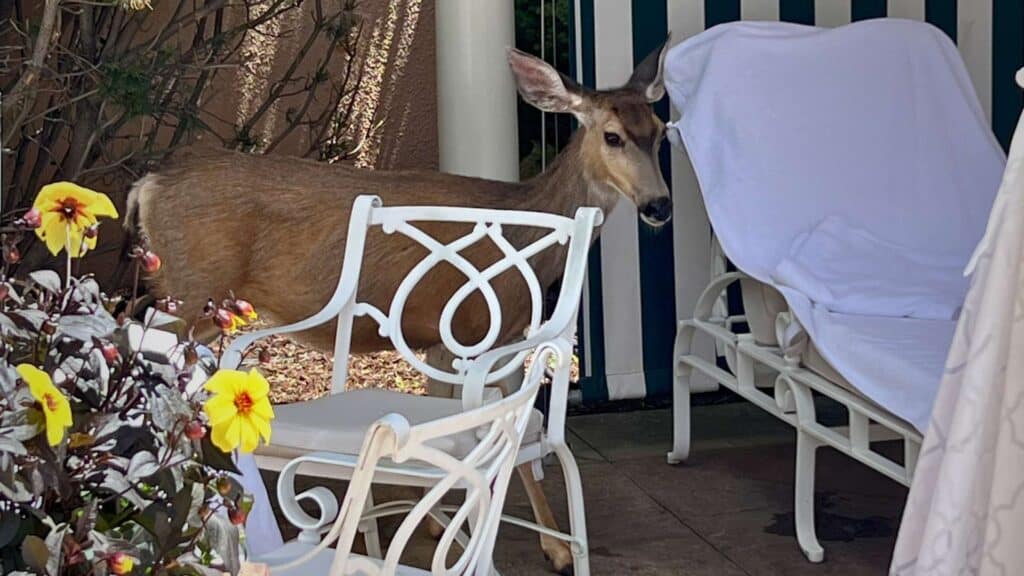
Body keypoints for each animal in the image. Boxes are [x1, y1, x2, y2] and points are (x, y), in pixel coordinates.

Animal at [125, 38, 673, 575]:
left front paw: (436, 524)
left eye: (660, 131)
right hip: (191, 291)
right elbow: (506, 444)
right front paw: (551, 551)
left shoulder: (450, 340)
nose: (660, 205)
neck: (528, 235)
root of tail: (146, 185)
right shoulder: (478, 333)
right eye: (612, 136)